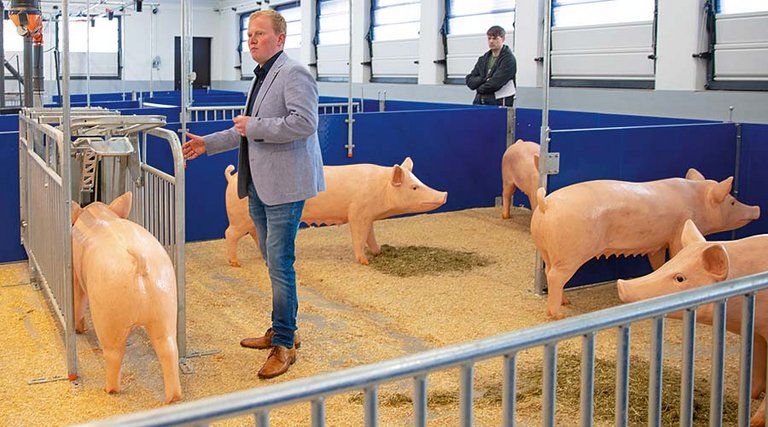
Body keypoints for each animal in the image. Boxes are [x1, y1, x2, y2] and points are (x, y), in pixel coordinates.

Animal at [70, 194, 182, 404]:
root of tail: (140, 261)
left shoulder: (75, 274)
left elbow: (78, 301)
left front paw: (79, 329)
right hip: (166, 305)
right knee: (169, 349)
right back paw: (173, 397)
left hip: (108, 314)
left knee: (114, 354)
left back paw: (109, 389)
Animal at [225, 157, 448, 266]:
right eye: (414, 188)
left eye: (419, 182)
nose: (444, 194)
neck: (380, 187)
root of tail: (231, 178)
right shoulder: (358, 212)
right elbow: (359, 236)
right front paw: (365, 262)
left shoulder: (368, 215)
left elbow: (370, 236)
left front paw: (378, 252)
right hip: (239, 218)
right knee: (230, 234)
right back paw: (235, 263)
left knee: (255, 233)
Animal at [532, 171, 760, 320]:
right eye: (732, 201)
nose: (757, 208)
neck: (697, 200)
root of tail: (546, 205)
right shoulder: (677, 231)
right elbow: (677, 251)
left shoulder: (657, 244)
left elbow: (658, 262)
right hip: (571, 251)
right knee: (556, 276)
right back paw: (558, 314)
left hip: (547, 248)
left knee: (550, 272)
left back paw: (566, 302)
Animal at [616, 221, 768, 427]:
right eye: (668, 263)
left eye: (680, 278)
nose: (621, 286)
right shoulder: (756, 330)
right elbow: (757, 363)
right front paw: (746, 395)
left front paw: (754, 422)